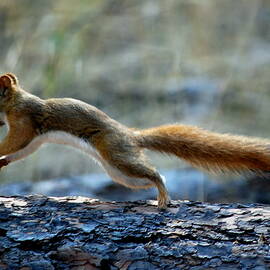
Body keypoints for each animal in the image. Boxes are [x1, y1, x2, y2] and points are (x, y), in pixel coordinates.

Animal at [0, 72, 270, 209]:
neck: (14, 104)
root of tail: (130, 134)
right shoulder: (34, 140)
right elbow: (21, 151)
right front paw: (3, 162)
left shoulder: (24, 122)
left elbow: (14, 141)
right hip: (121, 174)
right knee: (150, 176)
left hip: (118, 156)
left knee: (156, 174)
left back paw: (163, 197)